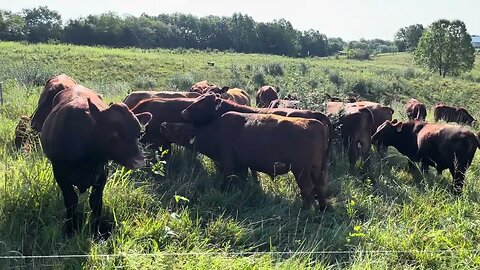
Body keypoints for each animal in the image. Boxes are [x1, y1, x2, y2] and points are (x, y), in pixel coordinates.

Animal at [41, 85, 151, 236]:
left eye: (139, 133)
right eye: (114, 132)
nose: (139, 161)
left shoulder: (102, 173)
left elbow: (96, 202)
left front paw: (97, 230)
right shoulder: (60, 174)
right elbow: (71, 200)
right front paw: (71, 229)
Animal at [161, 111, 330, 209]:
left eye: (178, 128)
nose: (163, 124)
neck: (215, 130)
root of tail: (316, 124)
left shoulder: (228, 163)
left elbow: (229, 179)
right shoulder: (242, 165)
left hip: (301, 171)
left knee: (308, 190)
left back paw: (306, 210)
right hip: (316, 169)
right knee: (320, 187)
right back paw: (323, 208)